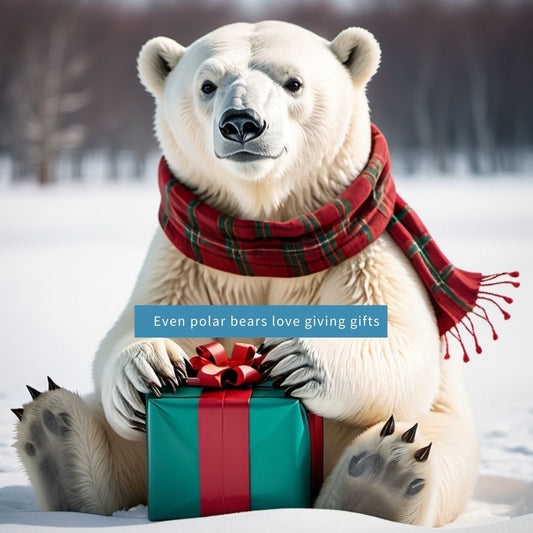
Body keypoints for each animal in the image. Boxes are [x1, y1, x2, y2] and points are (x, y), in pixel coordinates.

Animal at [12, 19, 478, 524]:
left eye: (293, 82)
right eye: (207, 84)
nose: (241, 123)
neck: (267, 232)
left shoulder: (365, 251)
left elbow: (397, 338)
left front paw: (296, 356)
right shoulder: (190, 261)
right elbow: (136, 326)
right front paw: (149, 366)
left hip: (446, 431)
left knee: (429, 440)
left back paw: (380, 476)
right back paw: (56, 436)